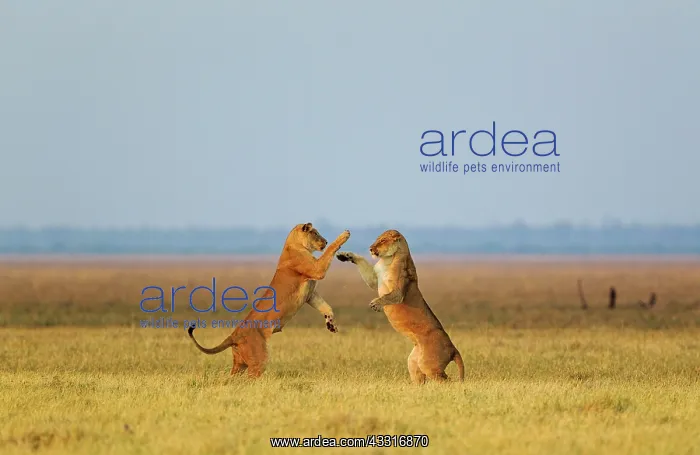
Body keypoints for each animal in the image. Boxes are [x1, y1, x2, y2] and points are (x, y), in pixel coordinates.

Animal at [188, 222, 350, 378]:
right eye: (315, 233)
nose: (325, 241)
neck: (295, 244)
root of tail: (234, 334)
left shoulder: (310, 294)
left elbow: (325, 306)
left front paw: (331, 324)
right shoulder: (317, 269)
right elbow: (329, 251)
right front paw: (343, 235)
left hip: (239, 364)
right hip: (259, 358)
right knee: (250, 379)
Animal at [336, 229, 464, 384]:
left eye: (382, 241)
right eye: (377, 239)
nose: (371, 249)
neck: (387, 259)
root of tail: (453, 348)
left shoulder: (399, 289)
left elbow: (391, 296)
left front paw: (376, 304)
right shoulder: (375, 279)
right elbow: (362, 263)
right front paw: (345, 255)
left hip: (429, 365)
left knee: (446, 380)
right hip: (414, 362)